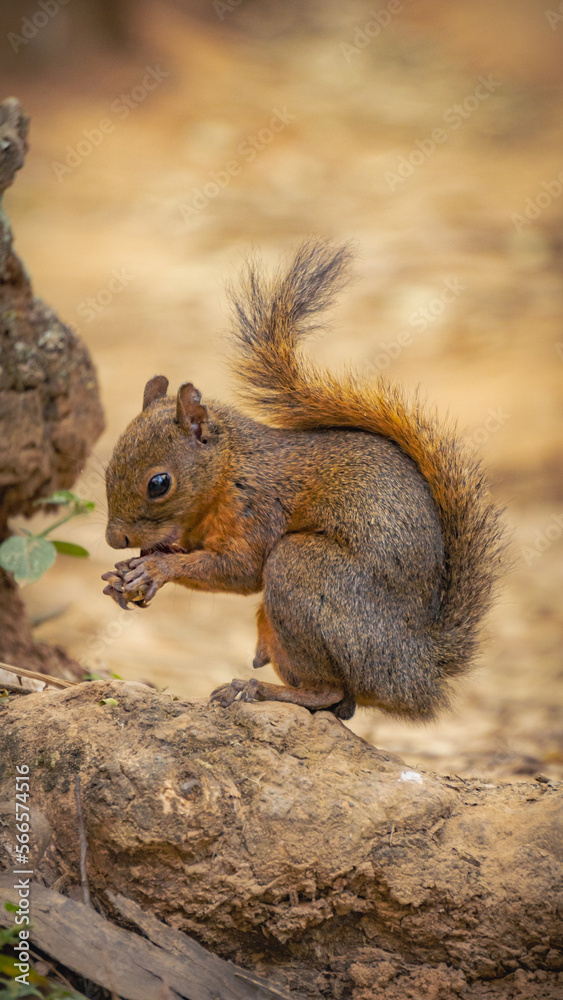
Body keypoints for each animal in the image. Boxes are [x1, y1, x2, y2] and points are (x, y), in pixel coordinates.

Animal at [102, 239, 506, 722]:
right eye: (107, 468)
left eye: (159, 483)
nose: (114, 539)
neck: (230, 469)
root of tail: (417, 670)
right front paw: (124, 575)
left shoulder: (257, 506)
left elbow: (241, 569)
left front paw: (156, 568)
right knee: (342, 704)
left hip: (304, 572)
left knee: (330, 692)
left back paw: (254, 689)